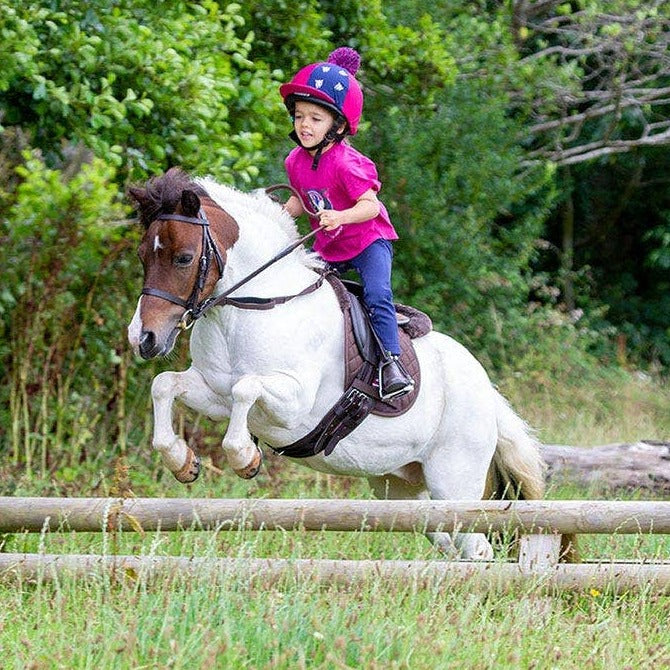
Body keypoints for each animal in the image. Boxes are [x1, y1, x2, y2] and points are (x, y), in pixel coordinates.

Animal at [129, 168, 552, 560]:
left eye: (184, 258)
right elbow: (166, 385)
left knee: (475, 546)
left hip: (454, 480)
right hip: (400, 487)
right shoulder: (213, 392)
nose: (143, 338)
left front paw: (246, 459)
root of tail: (488, 392)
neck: (254, 305)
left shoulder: (292, 401)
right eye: (142, 256)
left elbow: (245, 389)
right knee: (448, 540)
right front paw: (182, 462)